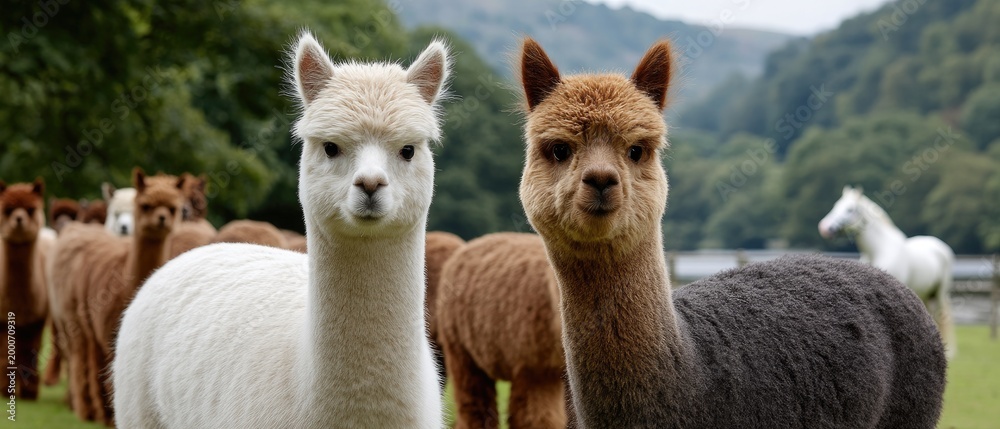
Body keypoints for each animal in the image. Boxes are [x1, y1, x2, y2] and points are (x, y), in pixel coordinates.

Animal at [819, 185, 956, 358]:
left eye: (850, 209)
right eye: (836, 205)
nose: (824, 228)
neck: (880, 250)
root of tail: (939, 246)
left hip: (940, 294)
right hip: (925, 297)